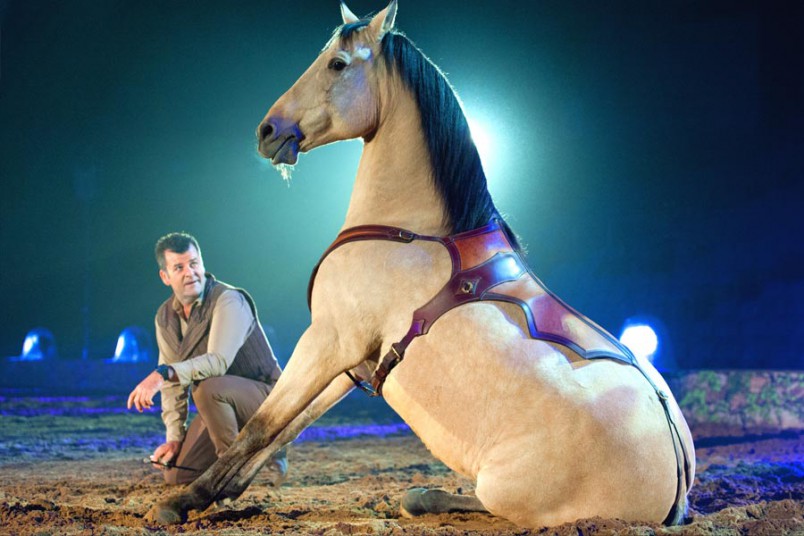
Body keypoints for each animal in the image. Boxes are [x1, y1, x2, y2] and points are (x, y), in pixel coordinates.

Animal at [146, 0, 696, 528]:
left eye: (337, 63)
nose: (268, 130)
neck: (407, 231)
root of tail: (678, 471)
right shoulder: (352, 361)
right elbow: (286, 427)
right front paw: (223, 493)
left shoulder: (326, 339)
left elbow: (262, 424)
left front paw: (182, 501)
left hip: (509, 493)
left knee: (467, 502)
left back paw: (422, 496)